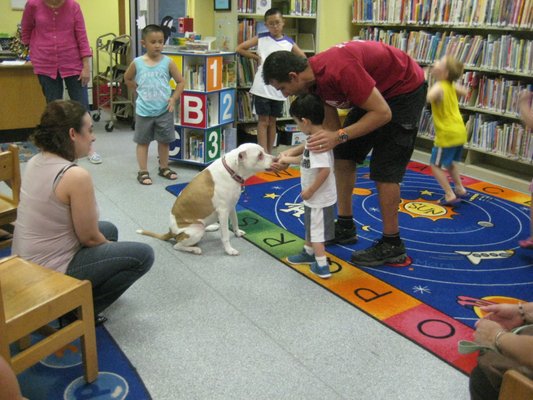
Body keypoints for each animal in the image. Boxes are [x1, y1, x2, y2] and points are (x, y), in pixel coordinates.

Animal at [137, 144, 272, 255]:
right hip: (196, 230)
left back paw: (211, 227)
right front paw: (229, 250)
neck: (231, 171)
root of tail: (171, 231)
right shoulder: (223, 212)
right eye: (260, 155)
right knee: (177, 245)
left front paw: (238, 233)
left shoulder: (232, 206)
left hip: (202, 225)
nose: (275, 159)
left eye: (264, 151)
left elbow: (235, 222)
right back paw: (195, 249)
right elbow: (225, 236)